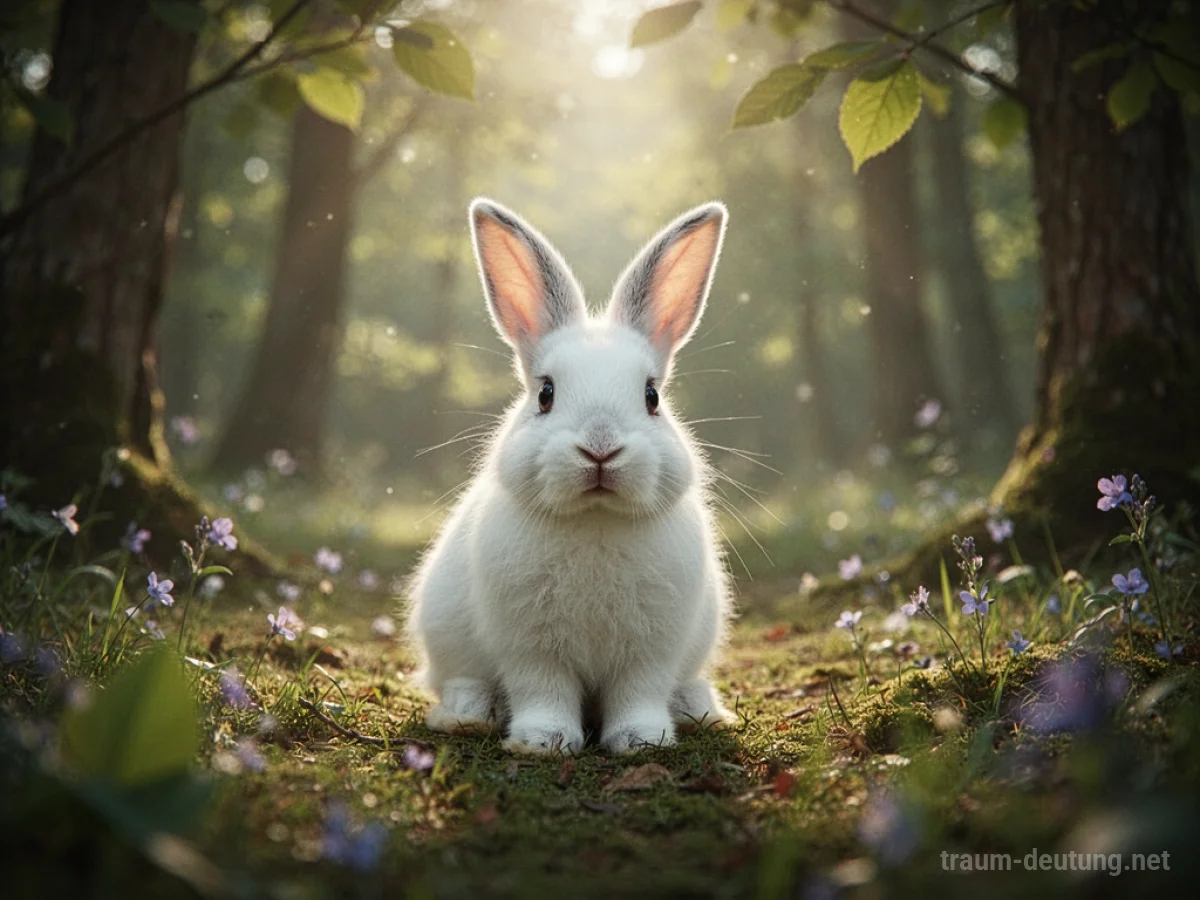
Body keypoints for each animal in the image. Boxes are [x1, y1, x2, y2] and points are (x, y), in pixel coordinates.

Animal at [406, 197, 734, 755]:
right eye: (546, 394)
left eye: (652, 396)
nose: (600, 448)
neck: (594, 518)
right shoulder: (530, 646)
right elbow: (544, 690)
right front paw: (542, 742)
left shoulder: (651, 649)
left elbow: (639, 693)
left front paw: (642, 741)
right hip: (447, 634)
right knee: (461, 679)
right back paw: (467, 717)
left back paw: (700, 711)